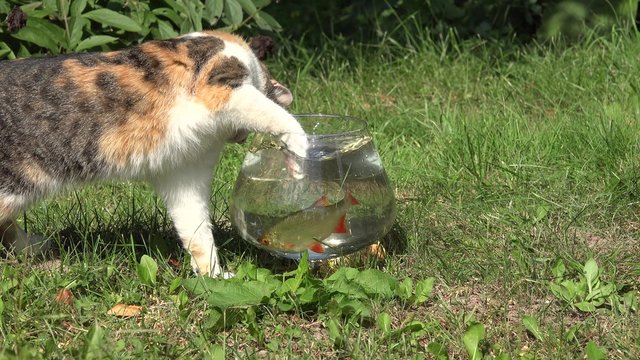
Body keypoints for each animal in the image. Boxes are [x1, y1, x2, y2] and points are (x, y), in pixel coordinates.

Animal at [0, 31, 310, 278]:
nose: (241, 138)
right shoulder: (221, 84)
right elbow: (273, 114)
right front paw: (299, 150)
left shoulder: (185, 171)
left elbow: (196, 230)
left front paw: (213, 276)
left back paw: (33, 247)